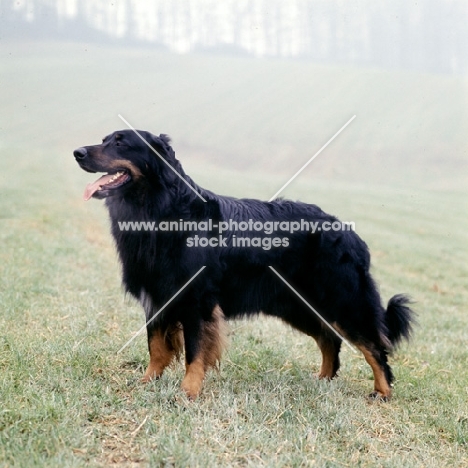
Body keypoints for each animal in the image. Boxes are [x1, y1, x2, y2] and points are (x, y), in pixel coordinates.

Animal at [75, 130, 414, 400]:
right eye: (104, 140)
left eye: (121, 143)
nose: (78, 153)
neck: (162, 210)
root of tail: (349, 232)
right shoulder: (157, 298)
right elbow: (156, 347)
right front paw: (148, 382)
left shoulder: (196, 302)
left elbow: (195, 352)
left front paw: (188, 392)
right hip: (298, 306)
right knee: (329, 338)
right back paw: (323, 380)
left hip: (343, 303)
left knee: (375, 348)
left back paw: (383, 392)